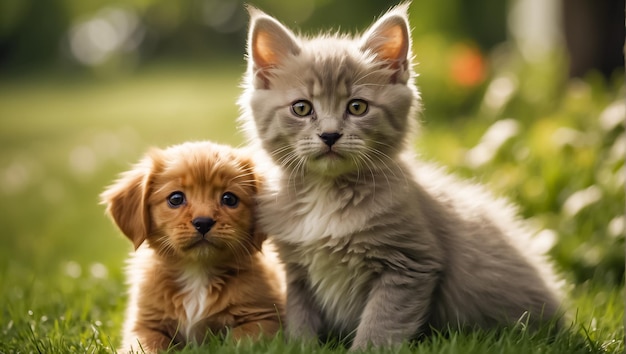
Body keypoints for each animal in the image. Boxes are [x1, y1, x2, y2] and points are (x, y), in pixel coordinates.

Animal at [100, 142, 286, 354]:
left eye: (229, 199)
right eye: (176, 198)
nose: (203, 223)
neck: (197, 272)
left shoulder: (262, 318)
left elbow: (240, 341)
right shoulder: (145, 325)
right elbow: (148, 346)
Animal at [236, 2, 564, 350]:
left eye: (357, 107)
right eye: (301, 108)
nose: (330, 135)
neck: (327, 193)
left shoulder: (409, 265)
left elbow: (380, 324)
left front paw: (365, 349)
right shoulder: (297, 270)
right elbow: (300, 317)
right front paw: (301, 346)